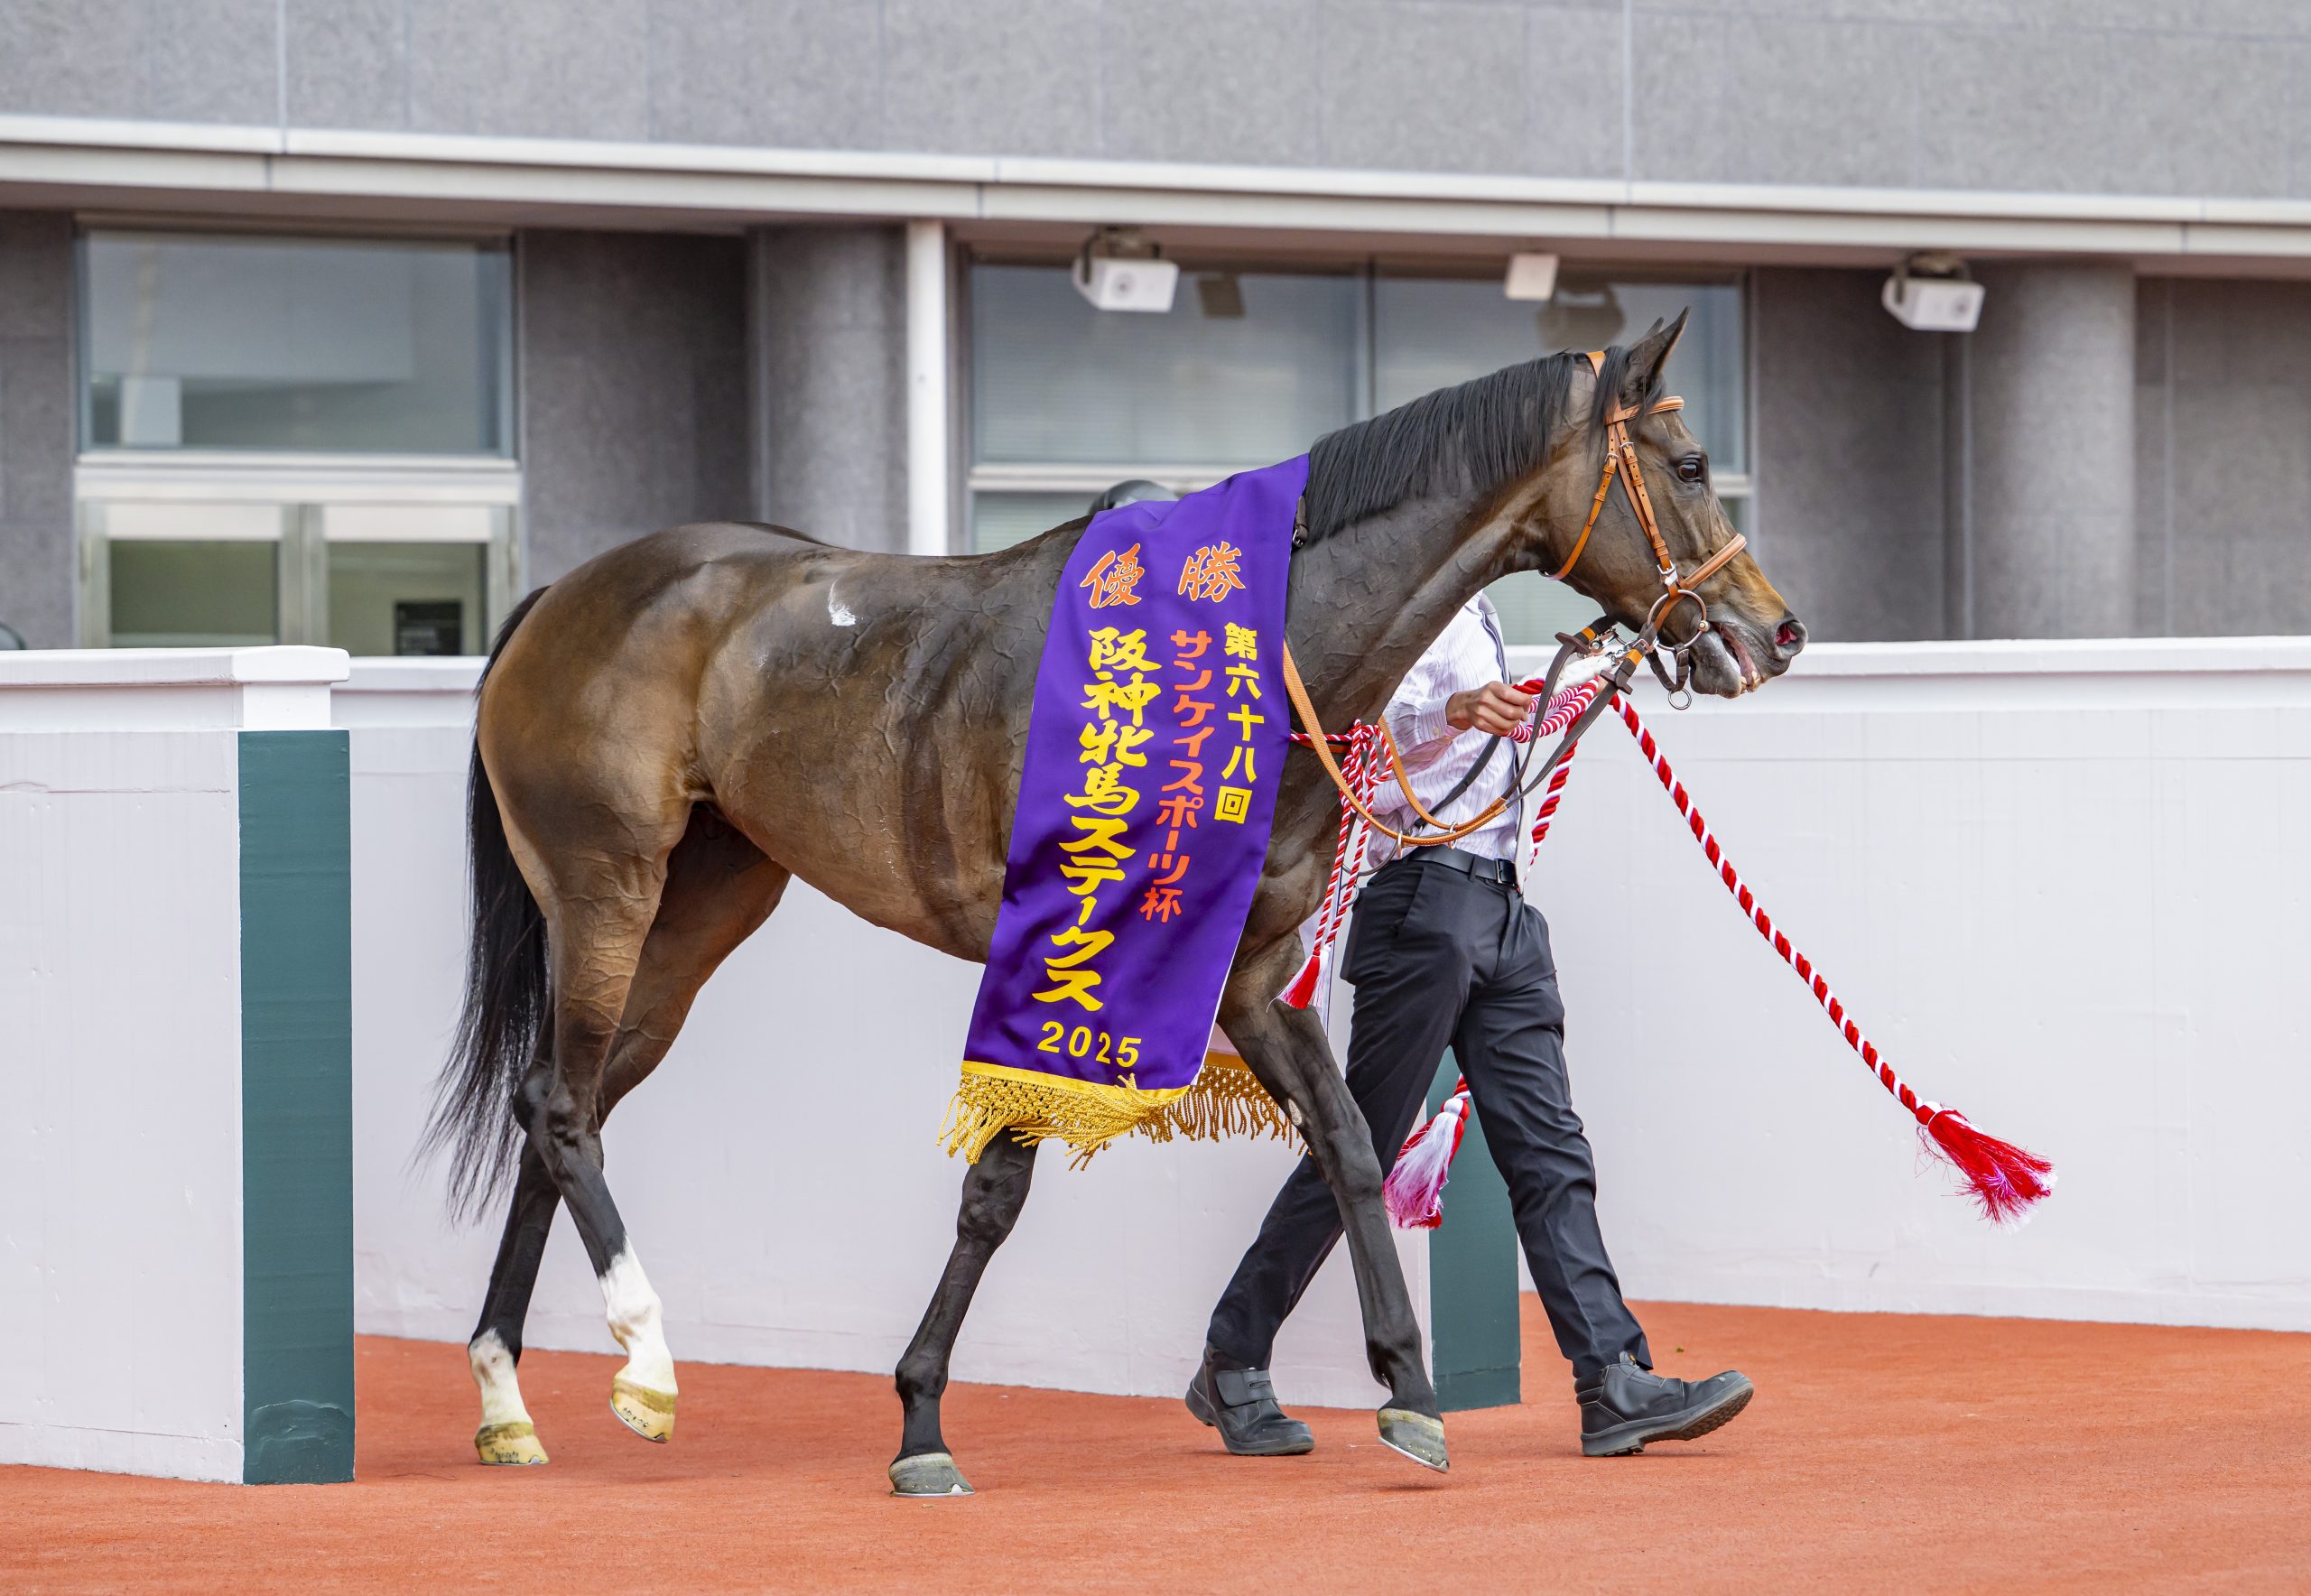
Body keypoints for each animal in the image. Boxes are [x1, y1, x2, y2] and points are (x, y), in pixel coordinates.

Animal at [426, 311, 1806, 1492]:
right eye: (1689, 464)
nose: (1777, 631)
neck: (1243, 662)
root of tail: (560, 599)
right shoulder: (1056, 956)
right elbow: (999, 1189)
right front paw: (921, 1423)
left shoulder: (1249, 972)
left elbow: (1351, 1144)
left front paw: (1409, 1394)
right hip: (608, 884)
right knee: (566, 1108)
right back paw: (646, 1363)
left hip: (702, 908)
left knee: (559, 1105)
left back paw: (503, 1397)